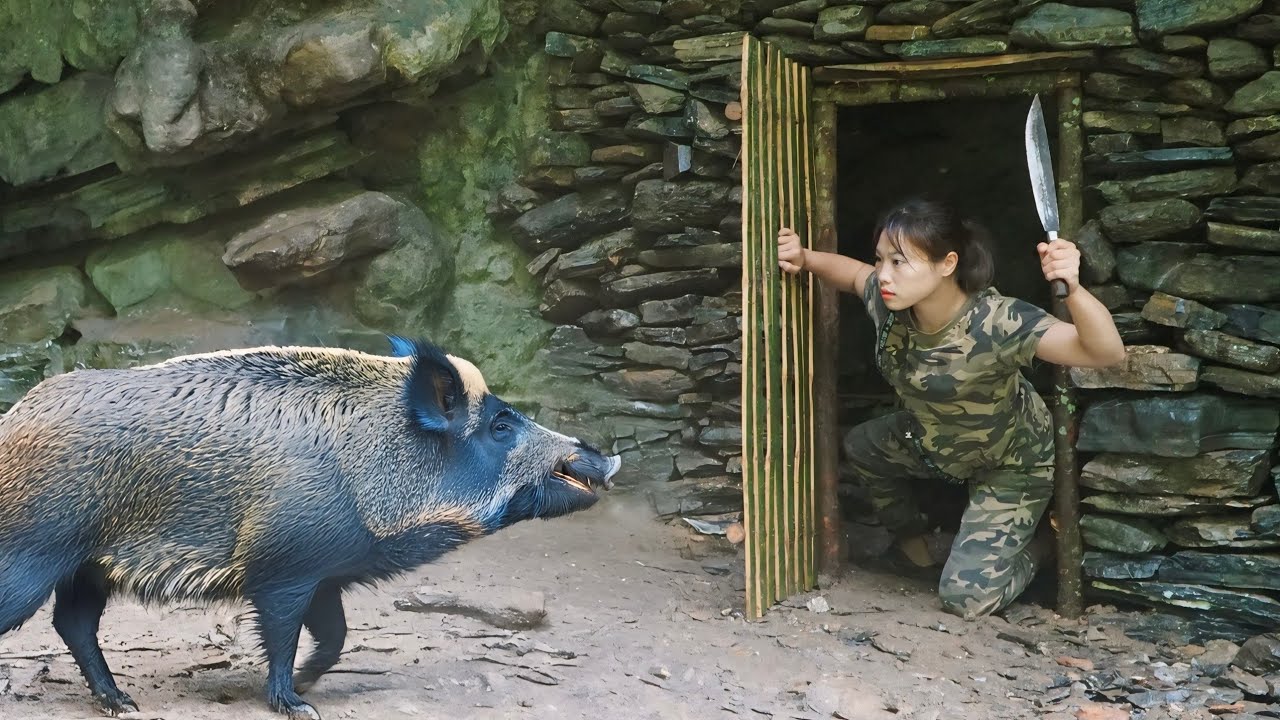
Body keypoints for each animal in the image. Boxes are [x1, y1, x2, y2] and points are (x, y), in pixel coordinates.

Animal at [0, 337, 620, 719]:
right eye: (500, 425)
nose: (607, 457)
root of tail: (15, 418)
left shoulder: (327, 574)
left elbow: (335, 634)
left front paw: (309, 683)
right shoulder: (283, 569)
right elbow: (281, 636)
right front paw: (298, 705)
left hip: (87, 565)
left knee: (74, 623)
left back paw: (124, 703)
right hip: (35, 552)